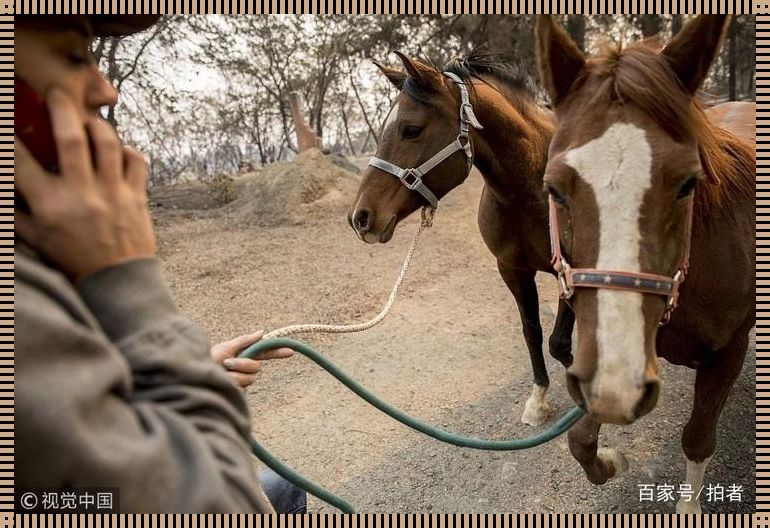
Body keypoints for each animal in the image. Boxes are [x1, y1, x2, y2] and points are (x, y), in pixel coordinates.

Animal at [346, 51, 568, 426]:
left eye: (411, 130)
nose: (360, 217)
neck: (533, 193)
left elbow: (561, 342)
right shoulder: (512, 269)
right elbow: (533, 331)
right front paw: (539, 400)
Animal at [532, 15, 752, 512]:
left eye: (688, 183)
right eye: (554, 189)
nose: (616, 384)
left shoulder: (728, 353)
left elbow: (697, 440)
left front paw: (688, 509)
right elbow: (579, 440)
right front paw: (613, 462)